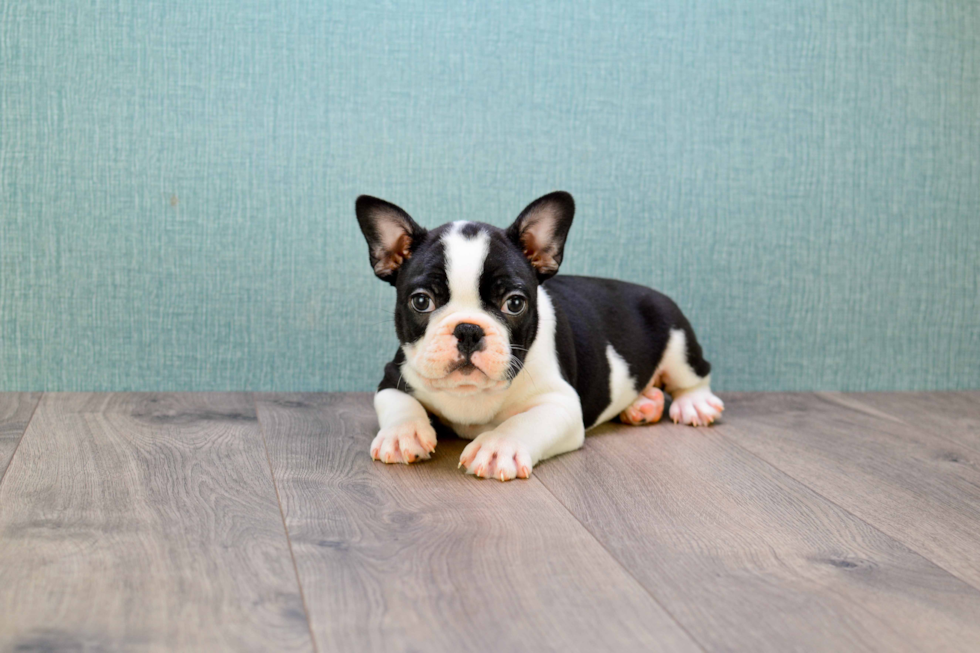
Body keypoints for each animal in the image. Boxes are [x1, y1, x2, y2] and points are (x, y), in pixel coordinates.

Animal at [356, 191, 724, 482]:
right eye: (421, 301)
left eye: (515, 303)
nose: (468, 330)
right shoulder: (394, 375)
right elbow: (400, 403)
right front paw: (402, 433)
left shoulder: (561, 403)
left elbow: (524, 422)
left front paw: (497, 447)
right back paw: (643, 405)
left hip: (676, 336)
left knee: (694, 376)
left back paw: (694, 404)